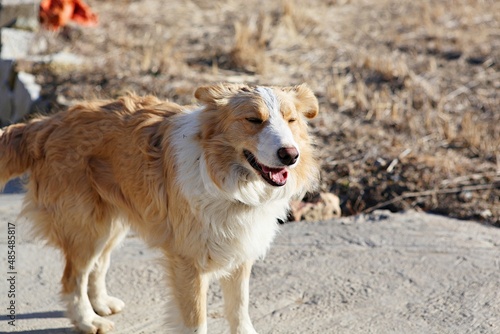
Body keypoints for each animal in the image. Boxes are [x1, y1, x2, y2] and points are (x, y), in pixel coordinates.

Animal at [0, 82, 318, 332]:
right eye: (253, 119)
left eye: (291, 120)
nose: (290, 155)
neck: (226, 178)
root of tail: (48, 123)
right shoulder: (189, 262)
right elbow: (195, 323)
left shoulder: (240, 253)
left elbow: (239, 312)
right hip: (87, 227)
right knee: (72, 278)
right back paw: (88, 321)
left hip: (111, 222)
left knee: (98, 266)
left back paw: (101, 304)